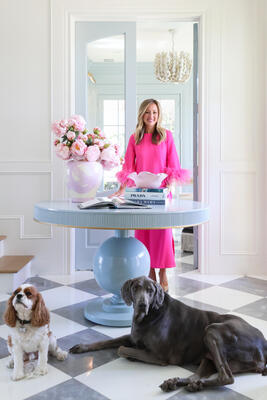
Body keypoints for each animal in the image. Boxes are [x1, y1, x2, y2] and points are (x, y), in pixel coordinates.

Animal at [69, 276, 267, 392]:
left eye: (150, 290)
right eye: (136, 288)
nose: (142, 304)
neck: (149, 316)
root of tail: (264, 345)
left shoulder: (160, 356)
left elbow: (121, 349)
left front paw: (132, 355)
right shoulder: (133, 336)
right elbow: (108, 341)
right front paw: (81, 347)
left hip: (212, 330)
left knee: (227, 376)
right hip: (208, 355)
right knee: (198, 375)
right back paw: (179, 383)